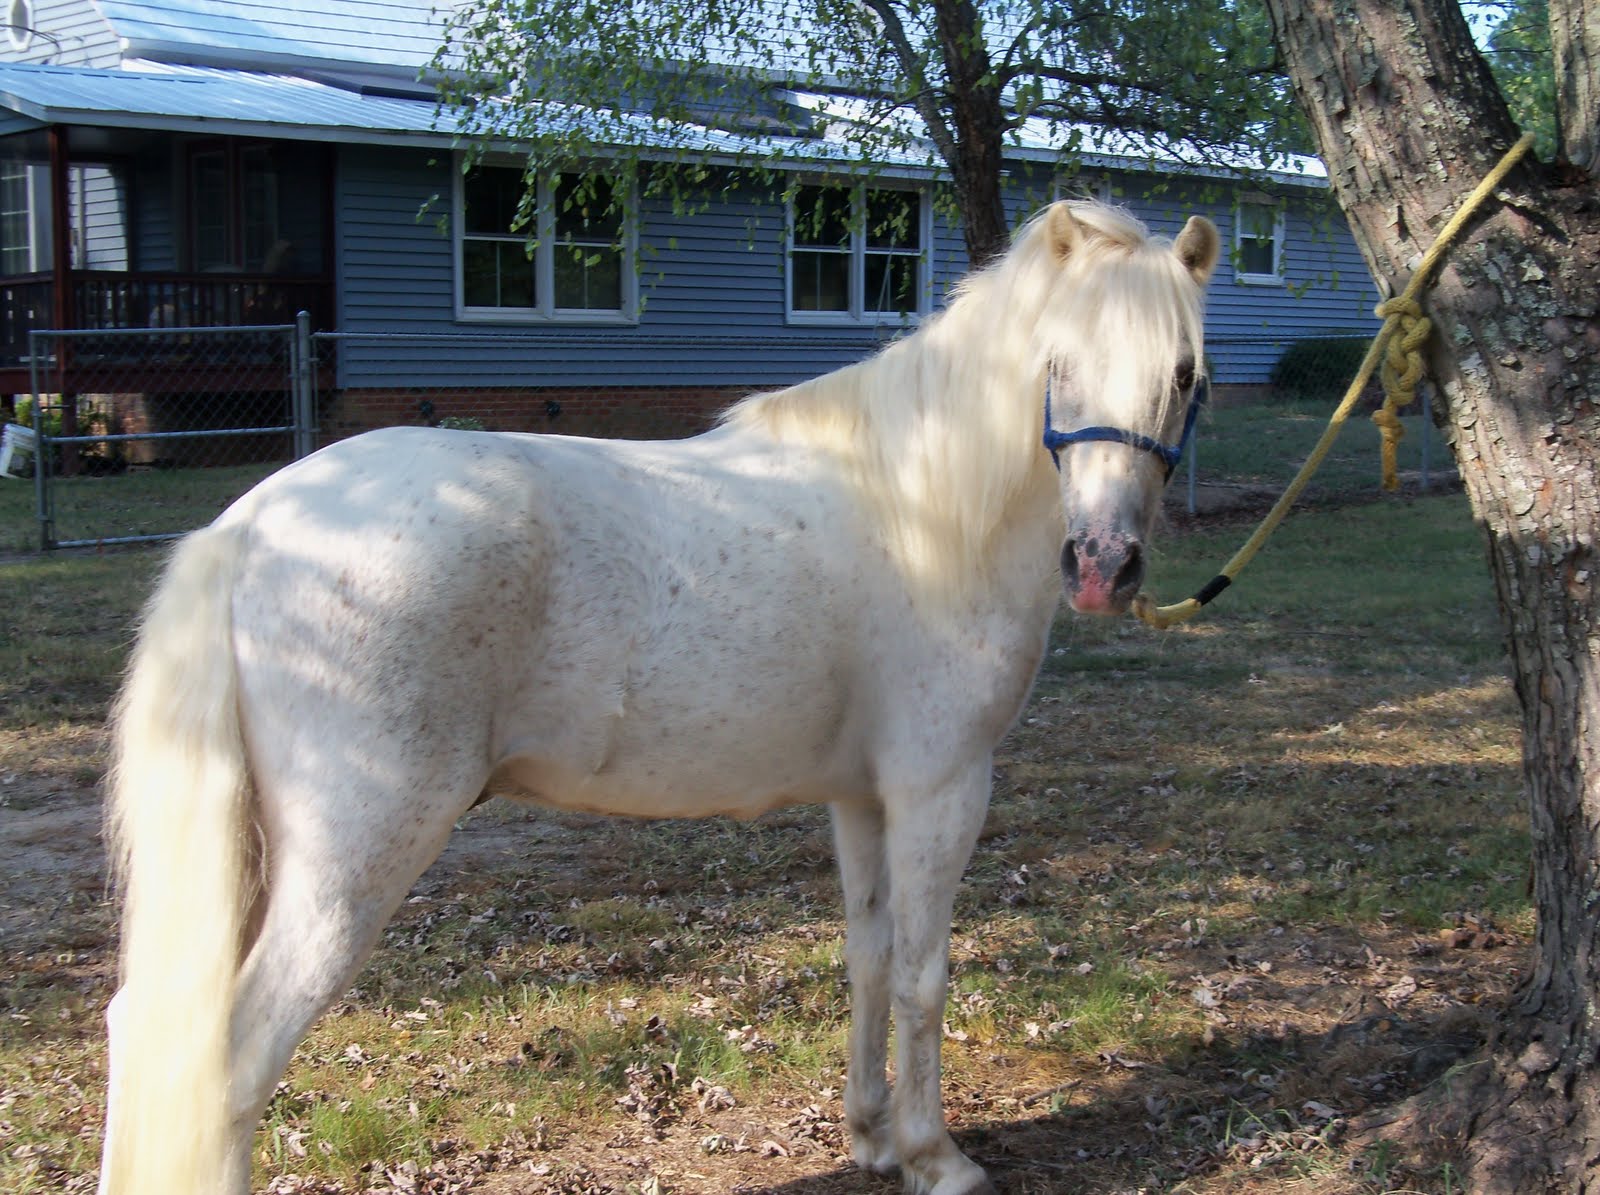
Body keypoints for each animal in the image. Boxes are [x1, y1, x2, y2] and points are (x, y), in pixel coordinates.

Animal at [98, 200, 1219, 1195]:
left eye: (1183, 375)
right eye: (1058, 364)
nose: (1103, 564)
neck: (919, 505)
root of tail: (247, 527)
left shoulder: (863, 796)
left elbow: (867, 956)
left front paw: (871, 1136)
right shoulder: (942, 787)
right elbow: (922, 971)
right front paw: (935, 1157)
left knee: (150, 1032)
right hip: (353, 858)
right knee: (232, 1060)